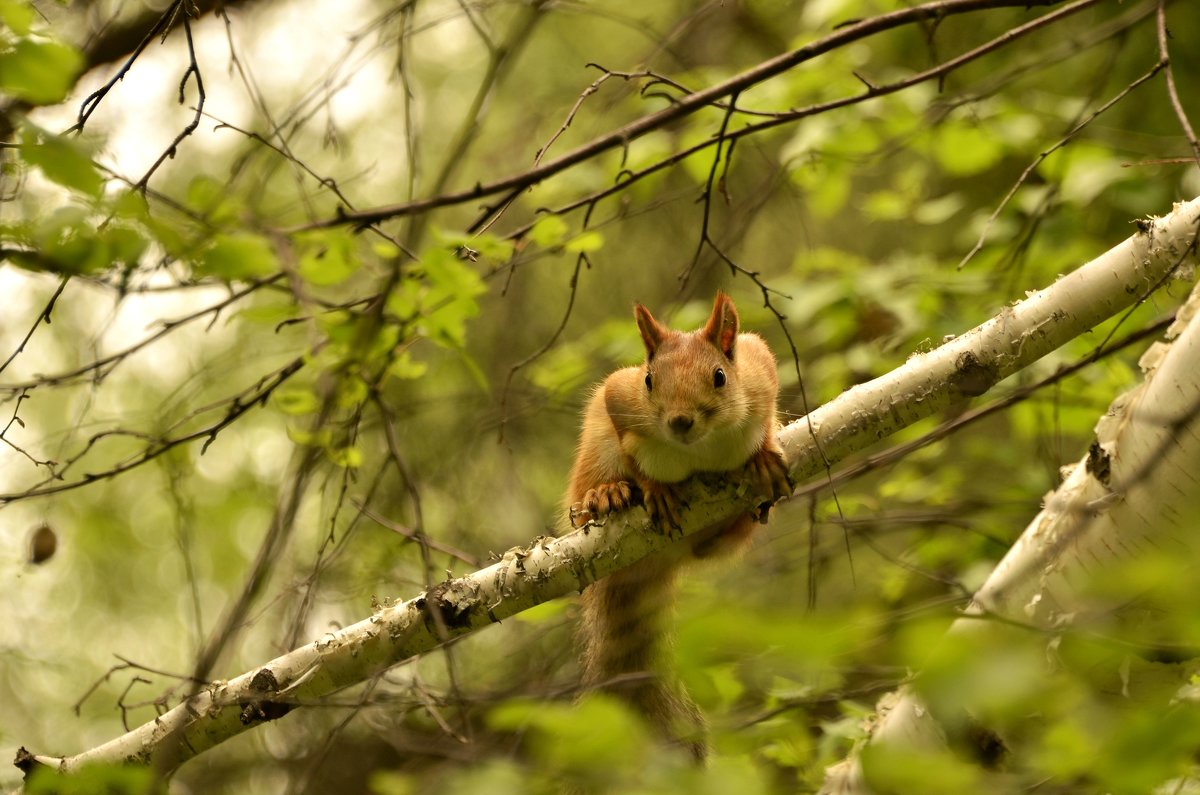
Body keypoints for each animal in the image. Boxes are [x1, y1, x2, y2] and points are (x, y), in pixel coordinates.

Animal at [566, 291, 792, 758]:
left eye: (720, 377)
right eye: (650, 381)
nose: (680, 421)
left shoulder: (759, 368)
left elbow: (766, 413)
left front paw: (764, 451)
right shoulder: (619, 396)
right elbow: (633, 451)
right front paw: (654, 489)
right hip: (593, 453)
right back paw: (606, 496)